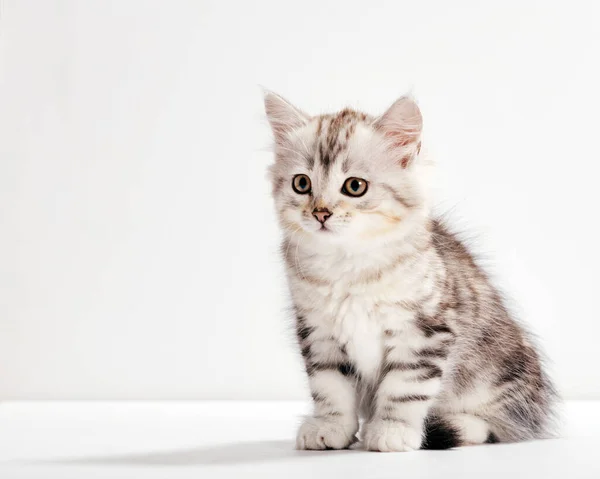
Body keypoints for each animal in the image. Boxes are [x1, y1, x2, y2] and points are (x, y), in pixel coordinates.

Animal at [264, 92, 556, 452]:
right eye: (301, 183)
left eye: (355, 186)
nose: (320, 213)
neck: (348, 265)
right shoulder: (320, 333)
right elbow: (330, 386)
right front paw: (330, 427)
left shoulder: (423, 331)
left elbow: (404, 388)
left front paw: (392, 430)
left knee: (496, 427)